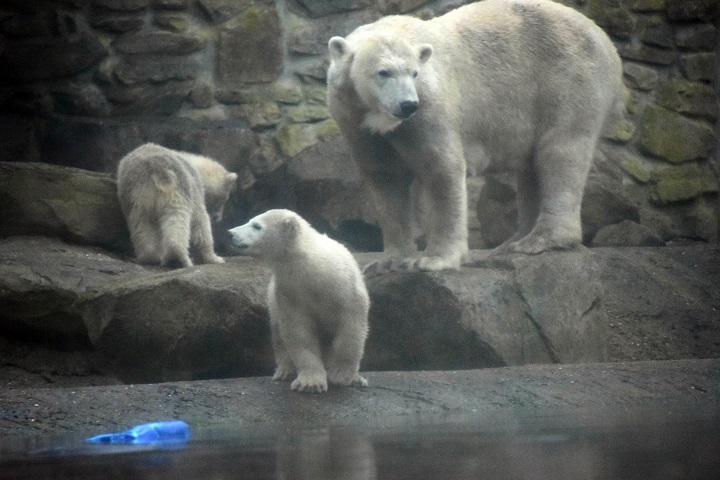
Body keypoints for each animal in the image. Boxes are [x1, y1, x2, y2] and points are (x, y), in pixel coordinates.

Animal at [116, 142, 238, 270]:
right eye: (222, 200)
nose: (217, 218)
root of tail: (155, 168)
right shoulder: (194, 188)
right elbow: (200, 221)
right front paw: (215, 258)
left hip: (135, 197)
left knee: (141, 224)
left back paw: (150, 258)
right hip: (176, 190)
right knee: (177, 218)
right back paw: (179, 258)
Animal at [228, 210, 368, 394]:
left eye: (256, 225)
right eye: (250, 221)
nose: (230, 233)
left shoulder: (344, 286)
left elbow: (351, 326)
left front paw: (341, 375)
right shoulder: (290, 293)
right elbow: (299, 332)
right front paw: (310, 383)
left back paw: (358, 379)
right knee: (278, 337)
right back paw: (285, 371)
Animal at [326, 0, 624, 278]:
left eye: (414, 73)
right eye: (383, 72)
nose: (408, 104)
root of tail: (606, 41)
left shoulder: (430, 108)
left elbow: (441, 170)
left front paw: (432, 260)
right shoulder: (354, 120)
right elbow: (385, 179)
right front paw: (386, 262)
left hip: (568, 79)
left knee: (560, 152)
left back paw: (540, 241)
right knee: (532, 166)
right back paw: (512, 242)